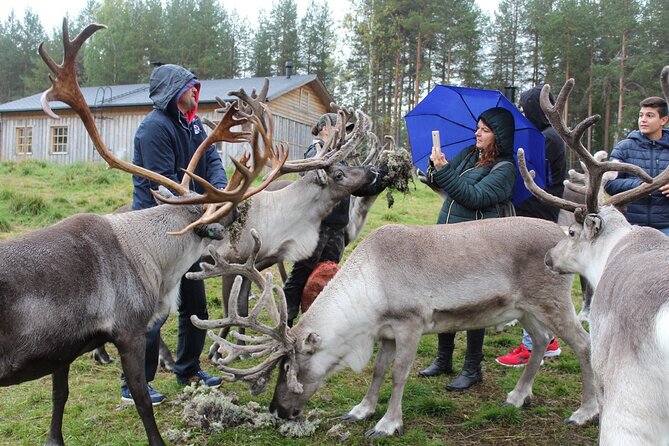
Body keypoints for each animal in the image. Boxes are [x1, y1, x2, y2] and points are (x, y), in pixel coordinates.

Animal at [0, 20, 293, 446]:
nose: (241, 213)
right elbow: (140, 398)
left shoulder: (62, 346)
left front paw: (54, 438)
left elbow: (59, 396)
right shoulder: (129, 330)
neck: (149, 257)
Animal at [188, 205, 599, 438]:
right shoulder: (384, 331)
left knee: (583, 343)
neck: (370, 292)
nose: (277, 410)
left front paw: (387, 424)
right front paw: (362, 409)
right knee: (542, 341)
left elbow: (399, 374)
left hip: (552, 300)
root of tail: (564, 235)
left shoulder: (411, 323)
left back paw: (584, 412)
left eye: (291, 367)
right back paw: (517, 396)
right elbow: (378, 370)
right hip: (525, 308)